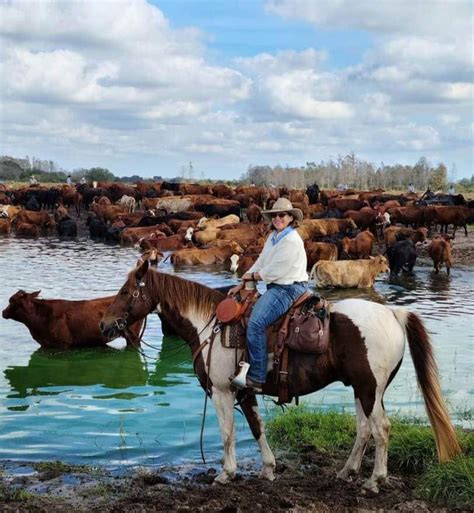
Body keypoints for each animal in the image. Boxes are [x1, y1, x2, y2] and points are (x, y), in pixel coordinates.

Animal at [100, 260, 460, 492]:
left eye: (127, 292)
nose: (104, 325)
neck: (209, 324)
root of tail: (393, 312)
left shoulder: (221, 391)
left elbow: (228, 434)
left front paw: (226, 474)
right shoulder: (243, 391)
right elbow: (256, 428)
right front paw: (268, 469)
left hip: (370, 389)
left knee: (381, 429)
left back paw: (374, 481)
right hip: (364, 390)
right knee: (364, 430)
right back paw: (347, 471)